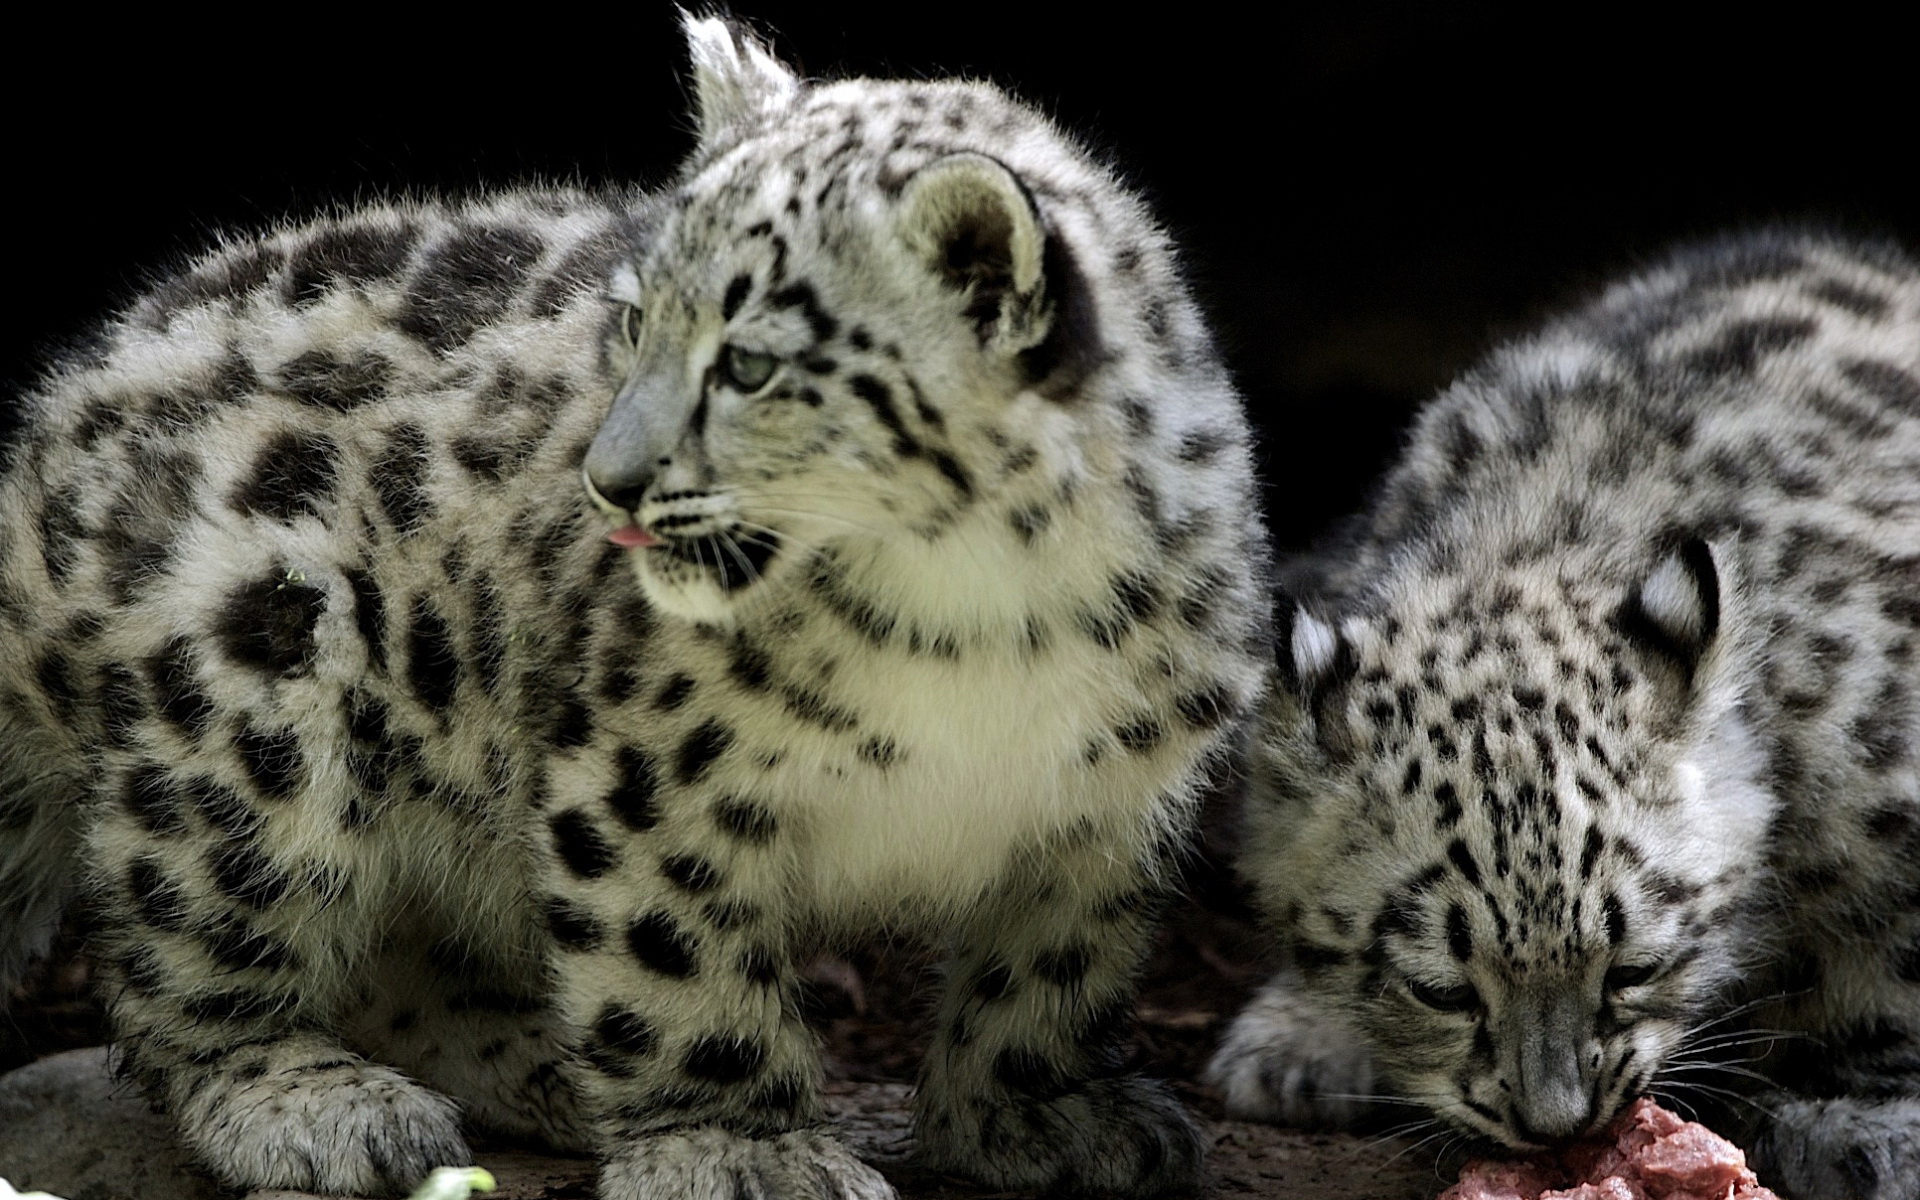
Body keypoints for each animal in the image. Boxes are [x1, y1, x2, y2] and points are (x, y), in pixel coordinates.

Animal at [0, 11, 1274, 1198]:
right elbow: (676, 964)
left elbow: (1052, 975)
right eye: (630, 321)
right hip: (256, 675)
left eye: (749, 363)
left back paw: (536, 1069)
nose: (607, 480)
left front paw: (1042, 1116)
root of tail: (49, 420)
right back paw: (314, 1102)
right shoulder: (645, 777)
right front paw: (739, 1146)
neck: (983, 612)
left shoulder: (1111, 805)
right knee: (185, 947)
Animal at [1213, 234, 1920, 1198]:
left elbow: (1889, 971)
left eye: (1634, 968)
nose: (1555, 1126)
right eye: (1439, 989)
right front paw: (1298, 1036)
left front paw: (1863, 1120)